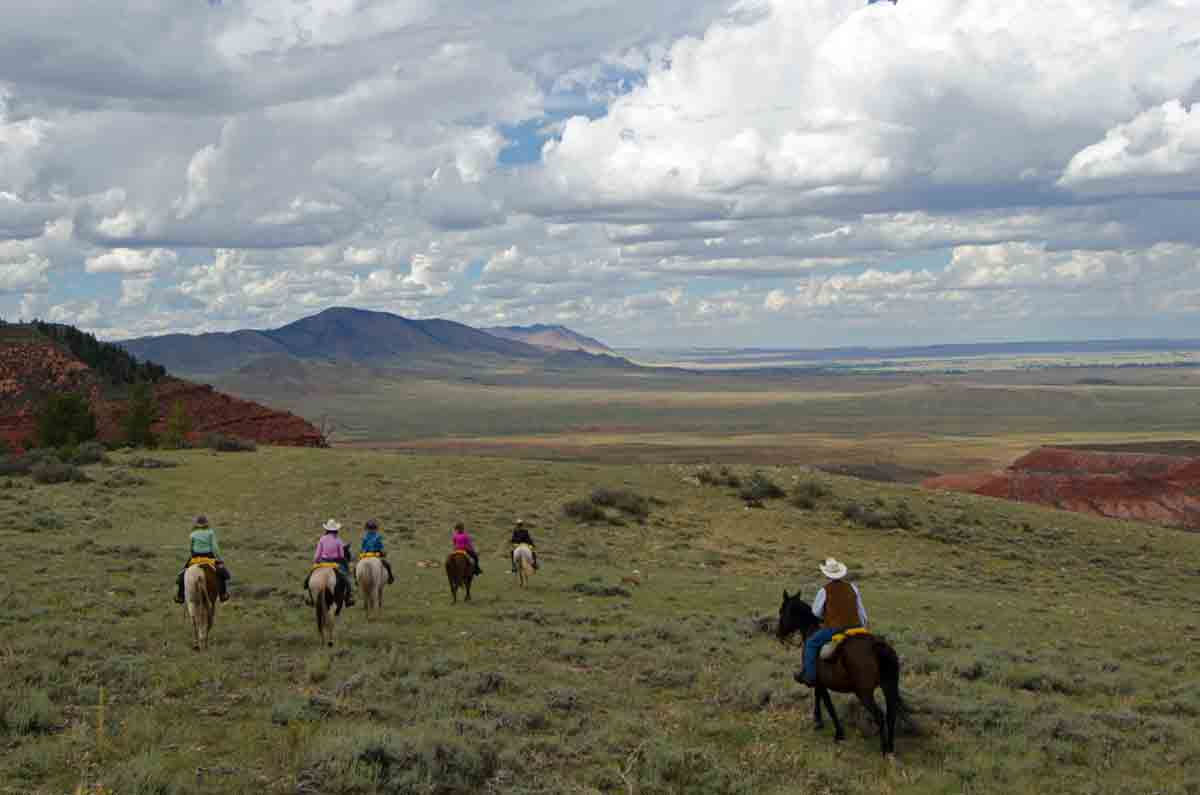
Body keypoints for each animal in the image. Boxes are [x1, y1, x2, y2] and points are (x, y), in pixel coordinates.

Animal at [777, 590, 907, 758]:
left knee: (879, 716)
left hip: (864, 693)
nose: (778, 634)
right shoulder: (819, 682)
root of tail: (876, 646)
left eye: (782, 611)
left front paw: (838, 733)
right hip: (889, 686)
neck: (811, 630)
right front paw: (818, 722)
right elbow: (818, 697)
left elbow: (827, 704)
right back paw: (890, 748)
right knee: (892, 714)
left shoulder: (820, 682)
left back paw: (884, 749)